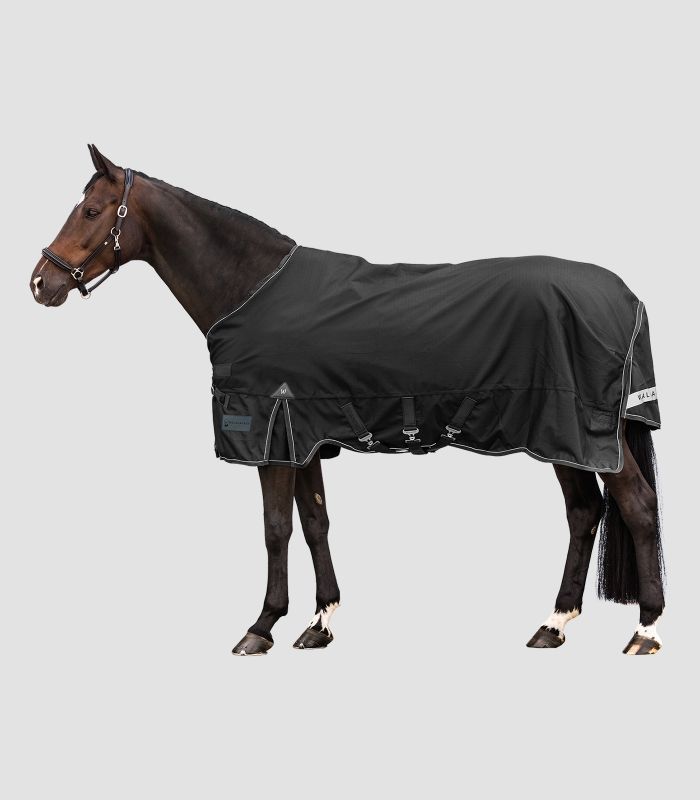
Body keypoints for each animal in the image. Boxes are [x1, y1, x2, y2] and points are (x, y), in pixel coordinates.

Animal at [30, 145, 665, 656]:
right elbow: (315, 523)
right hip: (562, 437)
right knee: (583, 513)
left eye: (91, 211)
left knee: (635, 505)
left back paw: (646, 630)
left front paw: (261, 627)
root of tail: (626, 297)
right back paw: (553, 624)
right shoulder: (306, 437)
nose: (40, 282)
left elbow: (275, 529)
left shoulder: (271, 436)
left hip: (581, 430)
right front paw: (320, 623)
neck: (251, 288)